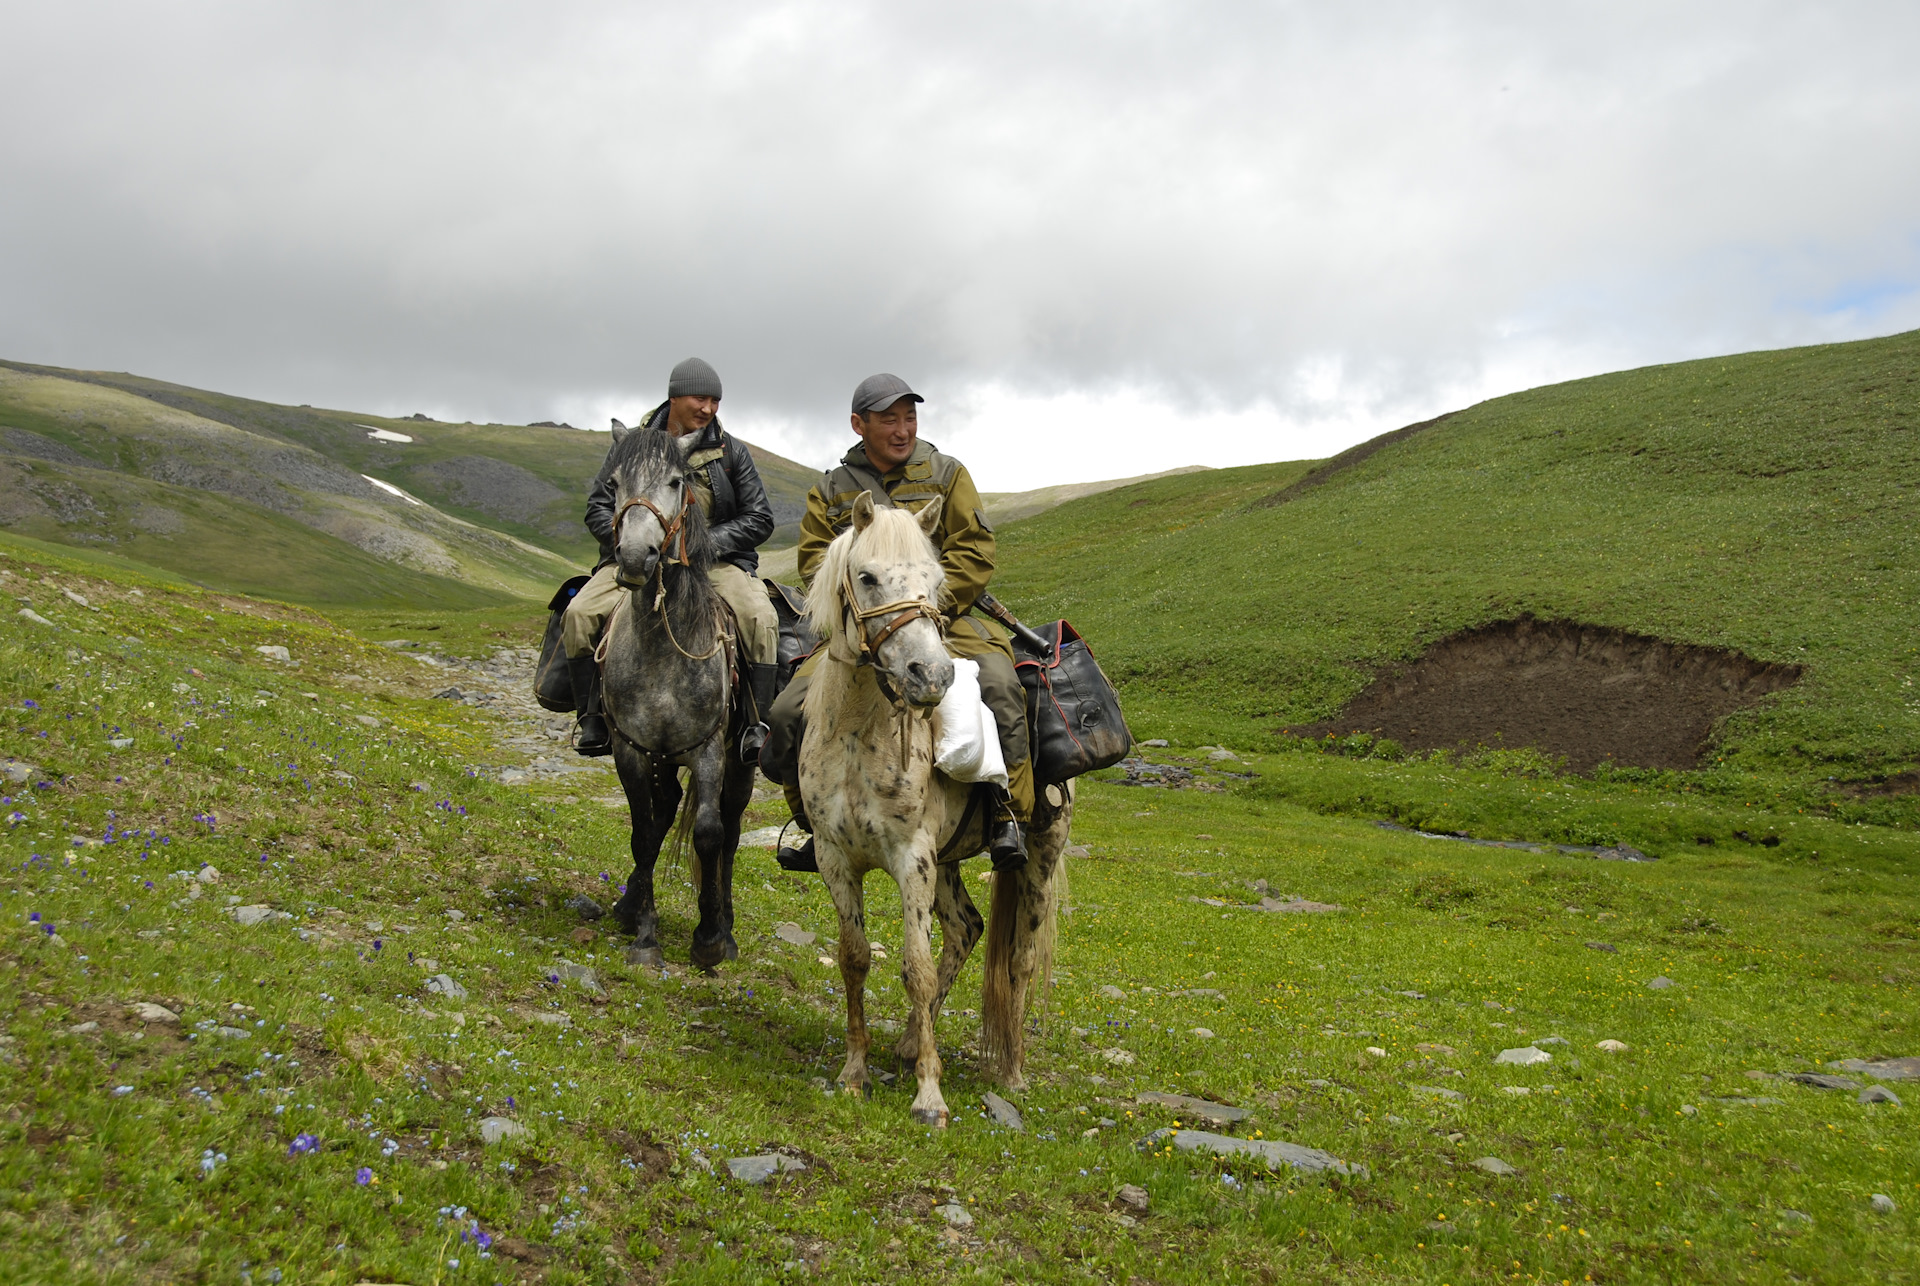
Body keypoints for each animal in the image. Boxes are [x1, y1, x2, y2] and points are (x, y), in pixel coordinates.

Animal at [602, 428, 752, 971]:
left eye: (675, 481)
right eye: (614, 483)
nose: (633, 557)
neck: (665, 646)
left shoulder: (707, 751)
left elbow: (708, 833)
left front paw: (708, 937)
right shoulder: (631, 750)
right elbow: (644, 833)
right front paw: (646, 937)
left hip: (740, 761)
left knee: (730, 831)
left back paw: (726, 927)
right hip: (662, 758)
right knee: (663, 812)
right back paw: (628, 907)